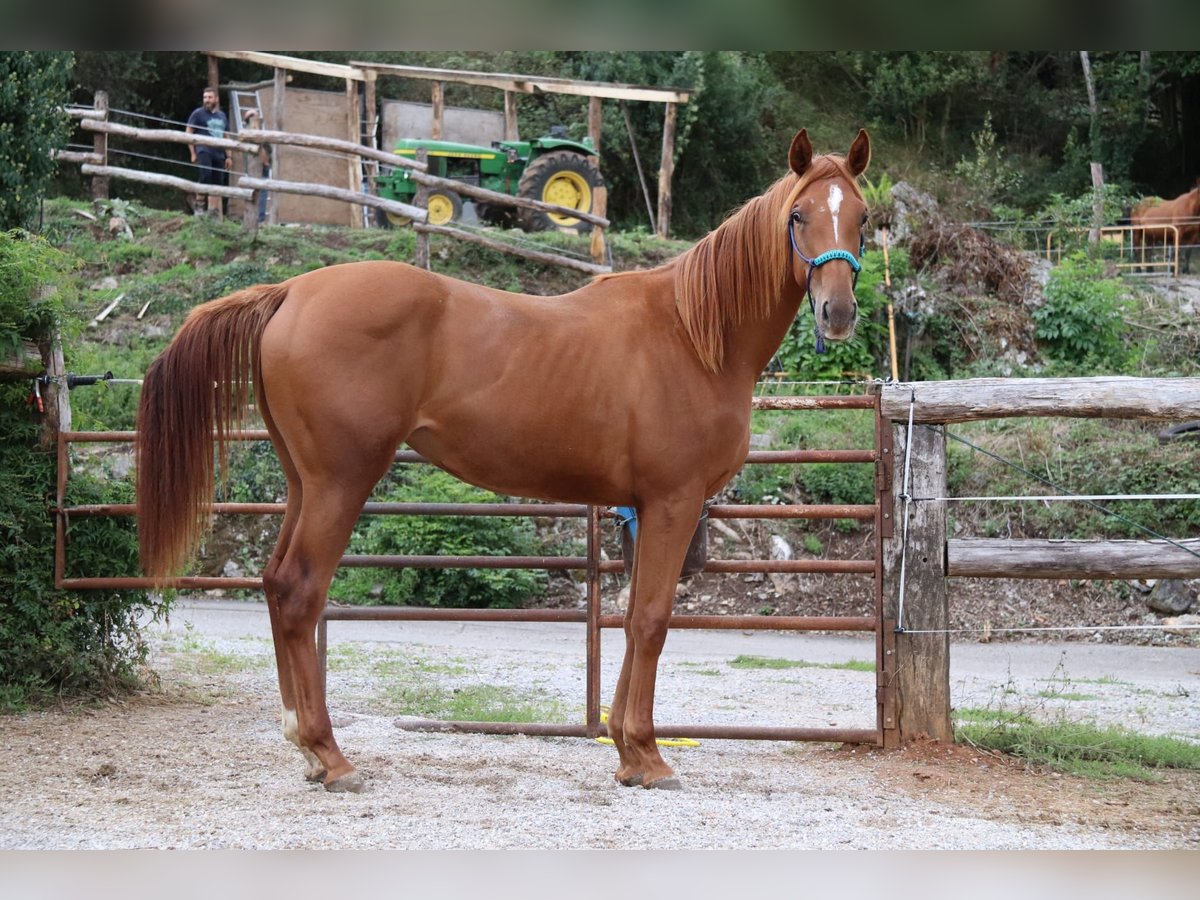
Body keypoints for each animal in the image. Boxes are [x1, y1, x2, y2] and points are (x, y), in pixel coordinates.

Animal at [138, 128, 873, 796]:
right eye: (799, 215)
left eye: (863, 218)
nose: (837, 312)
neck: (692, 336)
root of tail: (291, 290)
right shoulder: (673, 503)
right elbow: (652, 619)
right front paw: (648, 754)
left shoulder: (645, 510)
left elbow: (631, 618)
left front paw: (626, 752)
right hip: (339, 484)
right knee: (298, 590)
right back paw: (330, 755)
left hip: (302, 482)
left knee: (272, 583)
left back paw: (306, 744)